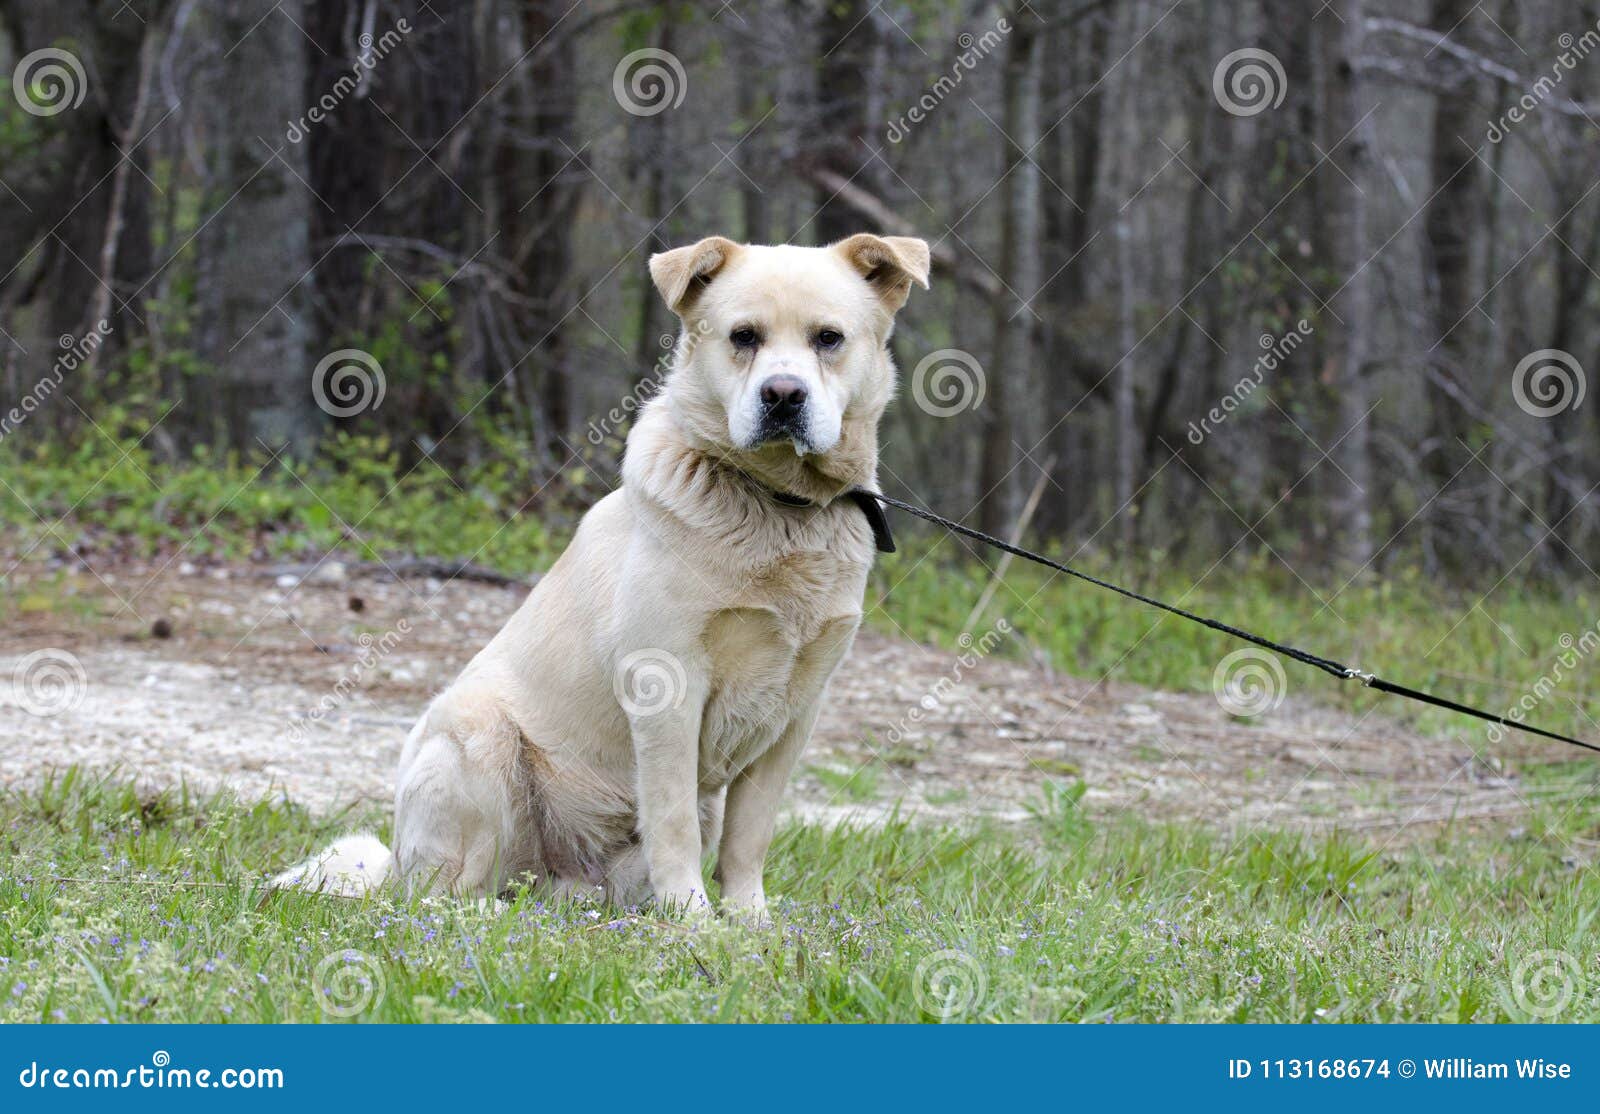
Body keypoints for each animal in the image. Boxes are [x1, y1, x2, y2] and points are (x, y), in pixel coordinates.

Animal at [275, 232, 928, 915]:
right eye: (743, 336)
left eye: (828, 338)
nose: (782, 394)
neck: (782, 505)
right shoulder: (668, 687)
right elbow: (672, 822)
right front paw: (693, 919)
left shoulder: (796, 712)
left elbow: (750, 837)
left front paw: (749, 921)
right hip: (477, 737)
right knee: (442, 893)